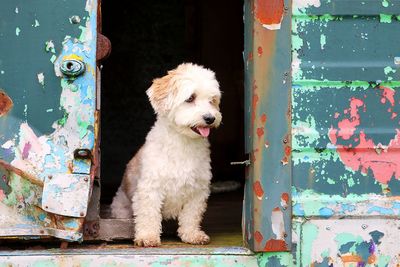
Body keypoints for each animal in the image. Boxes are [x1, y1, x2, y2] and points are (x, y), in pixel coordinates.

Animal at [109, 62, 222, 247]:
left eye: (212, 100)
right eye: (190, 98)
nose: (210, 118)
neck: (182, 142)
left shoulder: (197, 191)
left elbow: (191, 216)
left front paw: (192, 234)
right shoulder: (150, 189)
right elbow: (148, 215)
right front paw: (147, 237)